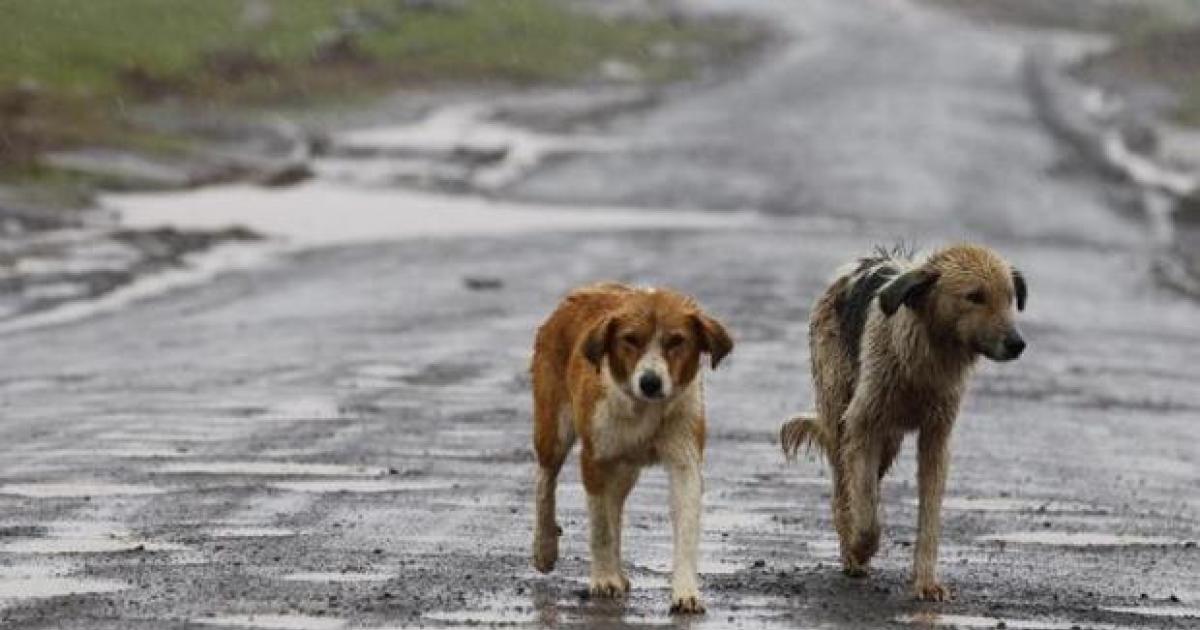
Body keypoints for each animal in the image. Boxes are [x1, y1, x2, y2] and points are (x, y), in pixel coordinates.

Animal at [532, 282, 729, 612]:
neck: (644, 410)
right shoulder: (594, 459)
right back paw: (545, 547)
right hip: (554, 431)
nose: (650, 382)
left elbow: (686, 528)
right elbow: (600, 528)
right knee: (545, 482)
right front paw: (603, 579)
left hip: (625, 469)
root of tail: (584, 291)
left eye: (676, 341)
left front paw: (685, 592)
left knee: (615, 507)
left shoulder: (685, 461)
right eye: (630, 340)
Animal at [782, 242, 1027, 600]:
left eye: (1010, 298)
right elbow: (866, 513)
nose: (1017, 344)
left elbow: (929, 517)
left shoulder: (936, 437)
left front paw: (926, 582)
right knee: (843, 491)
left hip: (890, 441)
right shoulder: (861, 425)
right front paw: (861, 547)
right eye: (975, 296)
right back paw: (851, 554)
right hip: (841, 415)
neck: (926, 361)